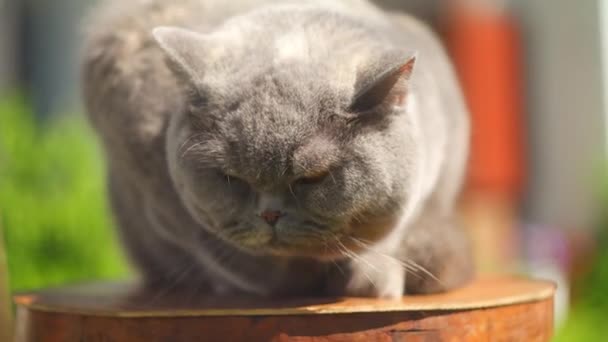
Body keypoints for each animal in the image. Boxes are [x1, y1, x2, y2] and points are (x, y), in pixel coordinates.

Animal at [82, 0, 470, 300]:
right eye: (231, 177)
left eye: (313, 178)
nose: (270, 214)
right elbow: (217, 248)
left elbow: (389, 233)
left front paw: (371, 277)